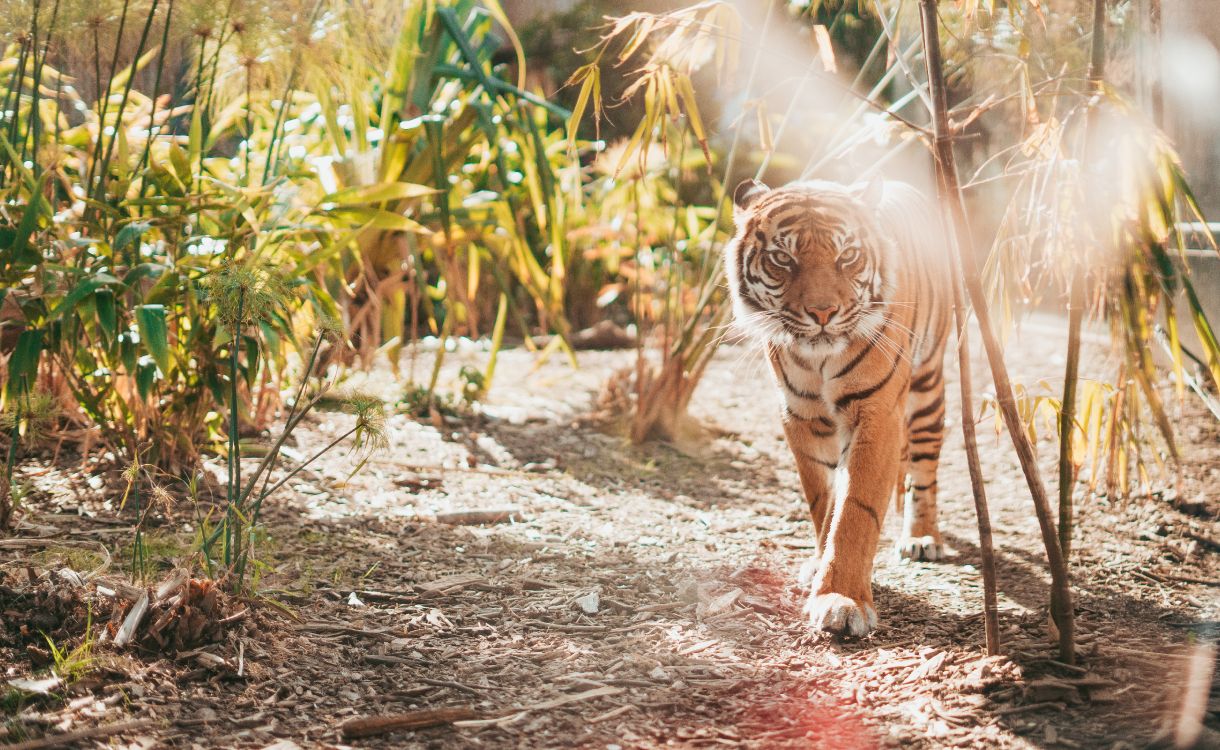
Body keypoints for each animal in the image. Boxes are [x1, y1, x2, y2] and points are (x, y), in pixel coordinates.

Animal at [725, 177, 952, 637]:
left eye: (847, 256)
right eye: (783, 258)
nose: (822, 312)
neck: (818, 359)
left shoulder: (876, 412)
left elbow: (855, 510)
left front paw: (842, 600)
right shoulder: (801, 416)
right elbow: (823, 501)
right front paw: (819, 566)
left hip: (927, 389)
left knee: (924, 470)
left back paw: (922, 537)